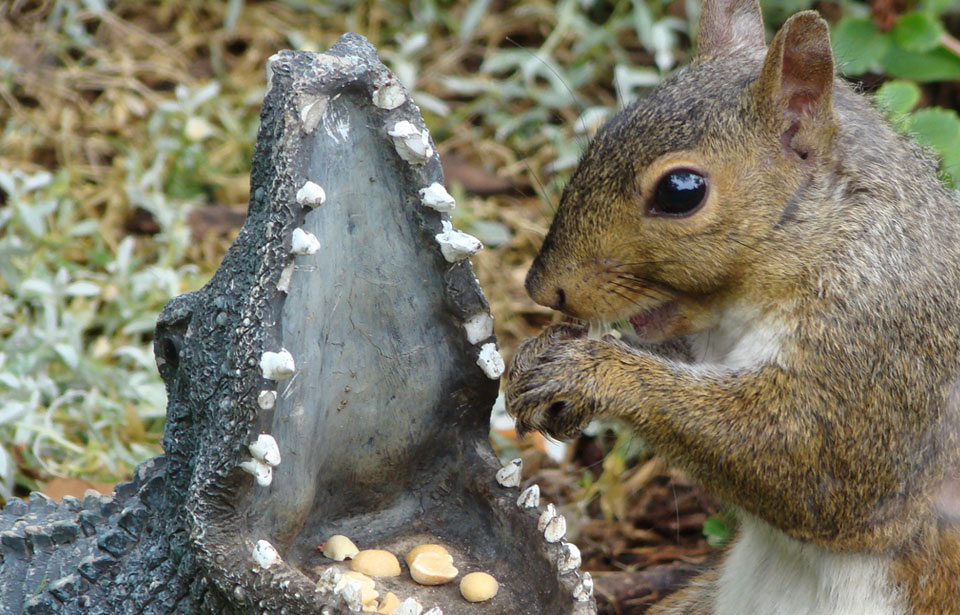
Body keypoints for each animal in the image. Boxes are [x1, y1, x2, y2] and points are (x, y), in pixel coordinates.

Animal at [502, 0, 960, 612]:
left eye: (681, 191)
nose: (541, 288)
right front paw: (538, 356)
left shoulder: (885, 356)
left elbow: (808, 467)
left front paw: (590, 371)